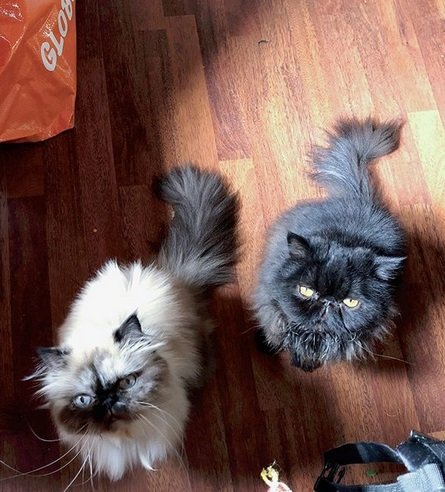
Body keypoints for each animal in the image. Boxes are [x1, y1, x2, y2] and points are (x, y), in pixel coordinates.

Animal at [251, 119, 404, 370]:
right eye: (306, 291)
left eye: (350, 302)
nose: (328, 302)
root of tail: (358, 198)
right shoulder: (270, 306)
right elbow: (276, 328)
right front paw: (267, 345)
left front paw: (307, 364)